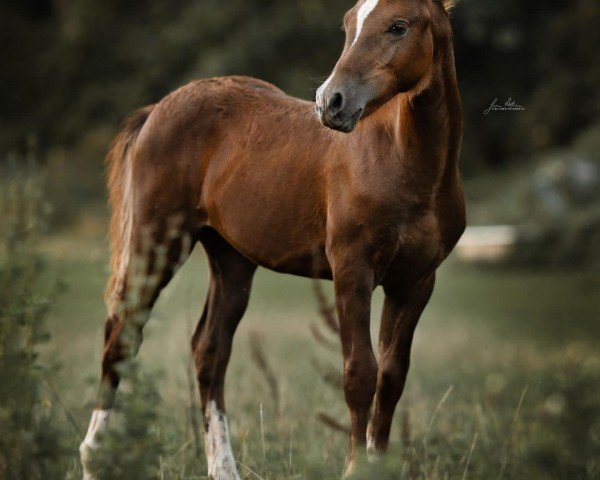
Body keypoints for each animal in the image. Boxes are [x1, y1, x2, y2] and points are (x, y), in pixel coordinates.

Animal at [79, 0, 464, 478]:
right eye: (348, 24)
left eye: (398, 26)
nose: (330, 102)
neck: (404, 166)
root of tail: (157, 109)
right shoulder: (351, 273)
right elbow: (360, 373)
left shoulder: (414, 283)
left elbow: (392, 378)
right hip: (157, 243)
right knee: (121, 336)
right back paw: (94, 457)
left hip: (231, 261)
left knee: (209, 351)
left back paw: (223, 468)